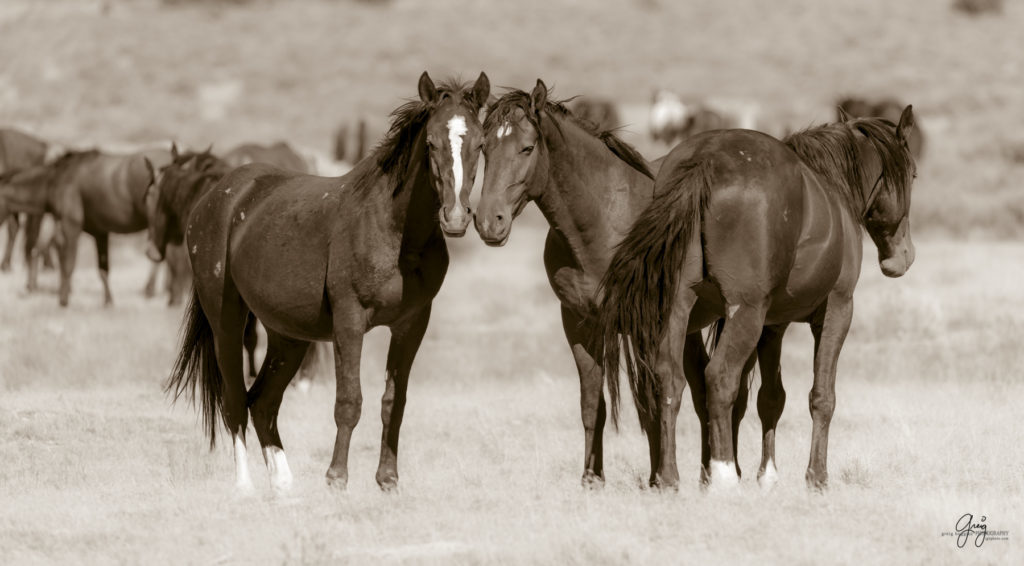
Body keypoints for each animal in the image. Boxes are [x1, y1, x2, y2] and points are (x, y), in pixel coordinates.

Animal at [166, 72, 487, 491]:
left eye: (481, 143)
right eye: (431, 142)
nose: (455, 217)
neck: (393, 230)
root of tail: (217, 195)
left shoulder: (411, 324)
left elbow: (393, 402)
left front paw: (387, 480)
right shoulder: (349, 322)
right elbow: (349, 401)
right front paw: (337, 478)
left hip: (288, 335)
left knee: (263, 402)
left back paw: (284, 486)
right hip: (227, 323)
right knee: (235, 400)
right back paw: (245, 487)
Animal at [598, 105, 921, 489]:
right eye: (913, 174)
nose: (902, 257)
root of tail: (705, 161)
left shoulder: (772, 325)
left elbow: (770, 398)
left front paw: (767, 475)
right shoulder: (837, 310)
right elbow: (821, 396)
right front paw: (816, 477)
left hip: (678, 308)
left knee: (670, 380)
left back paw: (669, 477)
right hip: (746, 313)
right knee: (719, 377)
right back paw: (723, 476)